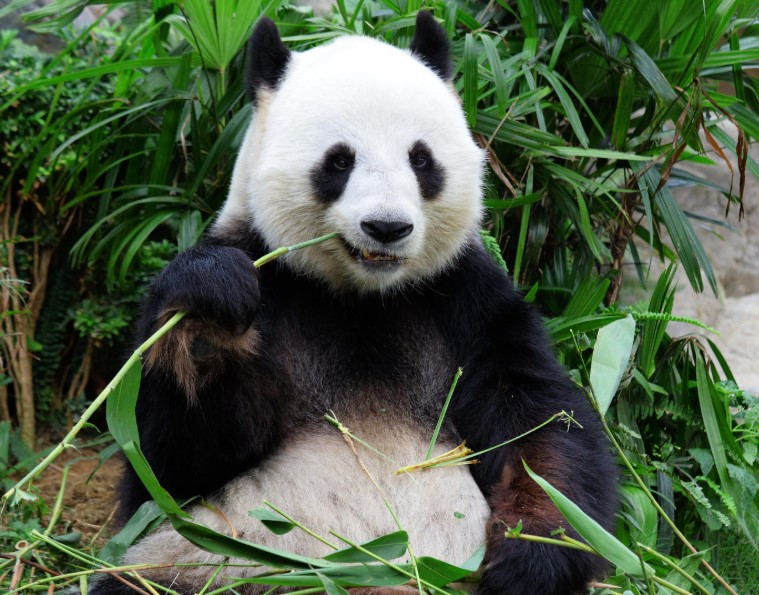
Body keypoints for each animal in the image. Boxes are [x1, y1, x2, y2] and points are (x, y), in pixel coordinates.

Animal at [98, 11, 617, 595]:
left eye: (421, 159)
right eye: (339, 161)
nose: (386, 227)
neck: (361, 297)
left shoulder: (466, 299)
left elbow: (540, 425)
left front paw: (531, 556)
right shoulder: (269, 274)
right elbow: (167, 464)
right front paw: (211, 315)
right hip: (211, 564)